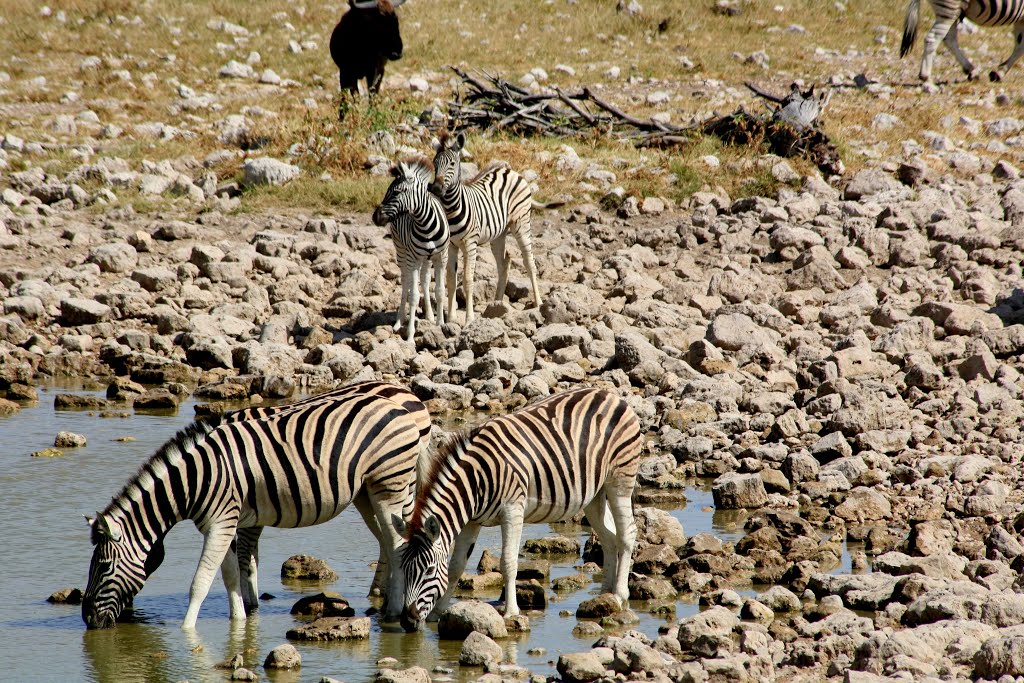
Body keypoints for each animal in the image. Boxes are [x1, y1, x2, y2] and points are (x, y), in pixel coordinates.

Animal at [81, 382, 428, 626]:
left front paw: (187, 631)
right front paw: (240, 620)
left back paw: (393, 610)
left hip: (390, 486)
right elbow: (233, 572)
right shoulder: (223, 523)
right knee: (388, 543)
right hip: (368, 492)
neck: (198, 477)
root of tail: (401, 399)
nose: (88, 620)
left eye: (103, 566)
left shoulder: (225, 521)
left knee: (398, 545)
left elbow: (203, 580)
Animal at [370, 157, 446, 344]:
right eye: (387, 191)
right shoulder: (413, 258)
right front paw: (411, 336)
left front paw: (441, 324)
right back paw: (399, 321)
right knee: (405, 282)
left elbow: (440, 291)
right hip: (402, 252)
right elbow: (413, 296)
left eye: (397, 192)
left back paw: (430, 316)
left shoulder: (441, 257)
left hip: (426, 259)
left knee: (424, 280)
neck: (426, 225)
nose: (375, 217)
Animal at [389, 387, 638, 634]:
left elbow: (508, 562)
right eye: (403, 568)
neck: (475, 480)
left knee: (627, 534)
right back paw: (605, 593)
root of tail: (608, 394)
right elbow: (456, 567)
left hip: (620, 480)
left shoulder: (512, 510)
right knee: (609, 538)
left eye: (429, 571)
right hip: (595, 494)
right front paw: (437, 612)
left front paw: (511, 611)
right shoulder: (472, 521)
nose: (407, 621)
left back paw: (619, 595)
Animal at [430, 135, 548, 327]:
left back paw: (538, 303)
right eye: (434, 163)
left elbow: (467, 279)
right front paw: (451, 318)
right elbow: (451, 280)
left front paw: (469, 319)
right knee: (504, 263)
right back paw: (498, 304)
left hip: (521, 224)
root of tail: (512, 171)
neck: (452, 209)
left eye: (452, 163)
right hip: (498, 235)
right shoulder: (452, 245)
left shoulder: (470, 244)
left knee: (529, 262)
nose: (435, 189)